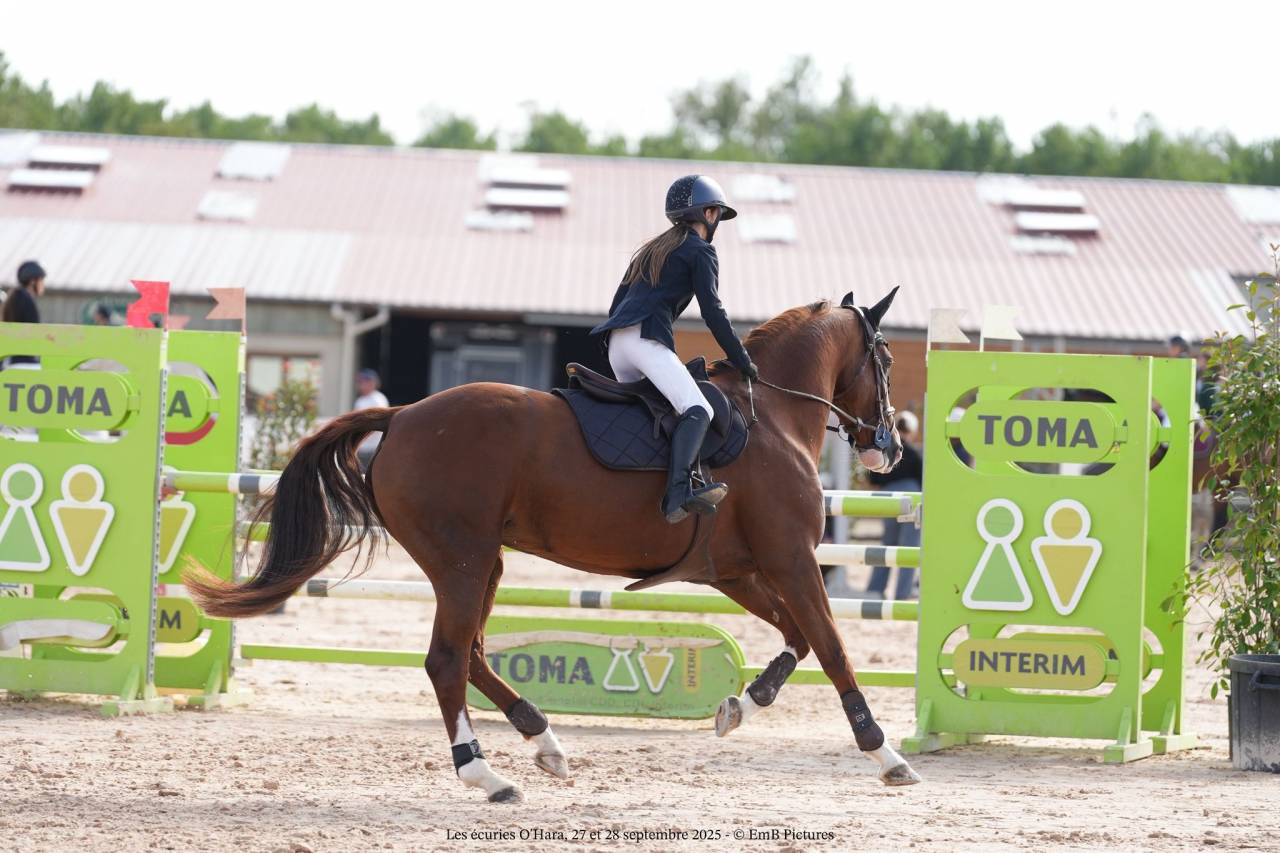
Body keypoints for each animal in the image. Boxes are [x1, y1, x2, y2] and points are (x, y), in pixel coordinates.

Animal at [187, 288, 924, 802]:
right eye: (887, 358)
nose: (887, 449)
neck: (770, 416)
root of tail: (401, 416)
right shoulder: (791, 560)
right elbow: (832, 646)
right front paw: (884, 754)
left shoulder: (737, 570)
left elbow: (798, 640)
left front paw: (741, 704)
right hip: (462, 562)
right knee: (447, 659)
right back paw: (485, 775)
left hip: (482, 563)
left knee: (472, 654)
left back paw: (544, 740)